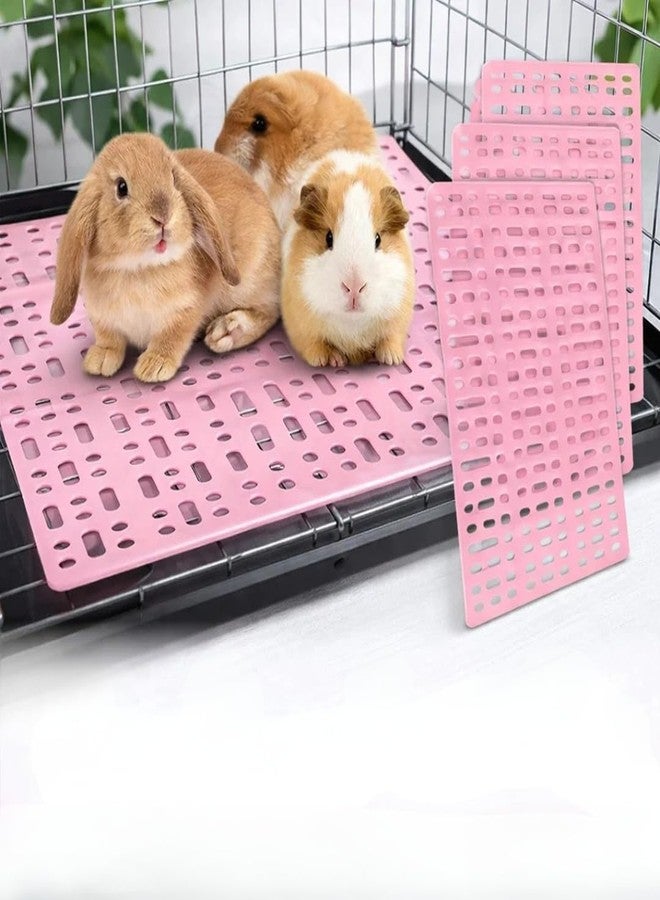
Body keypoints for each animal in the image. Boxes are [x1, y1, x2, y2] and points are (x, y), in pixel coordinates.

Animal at [50, 132, 281, 383]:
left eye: (172, 178)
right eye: (121, 187)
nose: (162, 215)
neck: (139, 268)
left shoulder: (185, 311)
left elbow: (172, 337)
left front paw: (154, 366)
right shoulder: (102, 317)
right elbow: (109, 337)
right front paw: (100, 359)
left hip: (250, 280)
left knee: (270, 311)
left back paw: (227, 331)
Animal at [281, 151, 414, 368]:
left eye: (378, 239)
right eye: (328, 238)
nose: (354, 287)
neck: (352, 323)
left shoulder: (397, 314)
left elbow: (390, 339)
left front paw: (390, 359)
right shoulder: (302, 323)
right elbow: (315, 347)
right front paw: (330, 361)